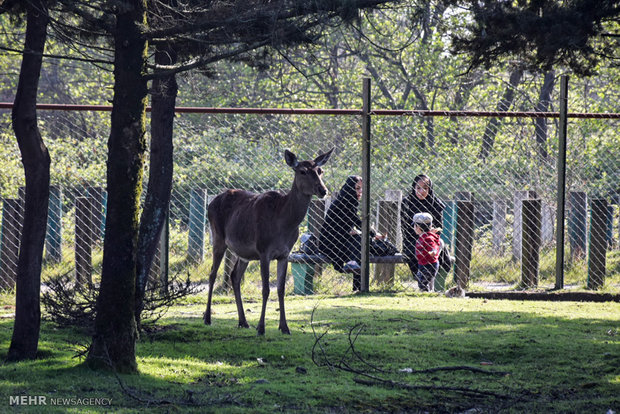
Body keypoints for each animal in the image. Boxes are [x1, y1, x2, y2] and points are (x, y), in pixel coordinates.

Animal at [206, 147, 334, 334]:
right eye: (302, 171)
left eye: (320, 171)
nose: (323, 190)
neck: (284, 223)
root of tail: (210, 203)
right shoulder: (263, 250)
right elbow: (266, 289)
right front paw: (261, 328)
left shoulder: (285, 254)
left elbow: (280, 289)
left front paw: (284, 327)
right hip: (218, 237)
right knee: (212, 274)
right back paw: (207, 318)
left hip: (243, 252)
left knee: (234, 276)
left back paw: (243, 321)